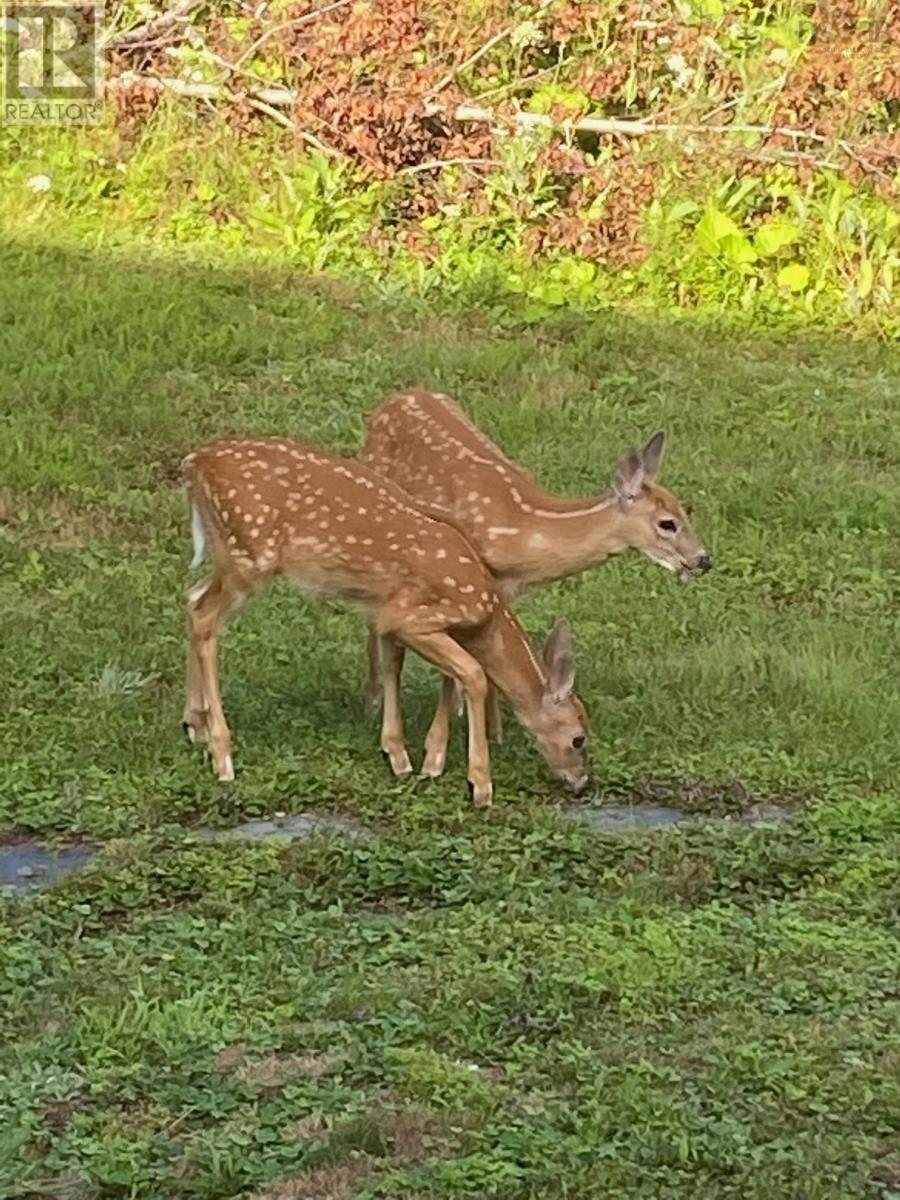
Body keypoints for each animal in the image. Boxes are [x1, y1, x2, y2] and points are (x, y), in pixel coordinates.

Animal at [182, 439, 592, 806]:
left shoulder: (385, 612)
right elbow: (473, 675)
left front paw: (398, 755)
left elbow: (393, 664)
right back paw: (222, 755)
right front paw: (480, 785)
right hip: (249, 557)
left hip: (228, 556)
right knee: (205, 617)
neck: (485, 615)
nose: (581, 782)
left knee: (192, 599)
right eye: (579, 738)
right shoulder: (413, 615)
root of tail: (196, 462)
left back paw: (194, 724)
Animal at [360, 393, 710, 744]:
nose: (703, 560)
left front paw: (489, 728)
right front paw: (489, 732)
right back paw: (374, 699)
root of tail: (397, 397)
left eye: (685, 511)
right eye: (668, 523)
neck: (524, 531)